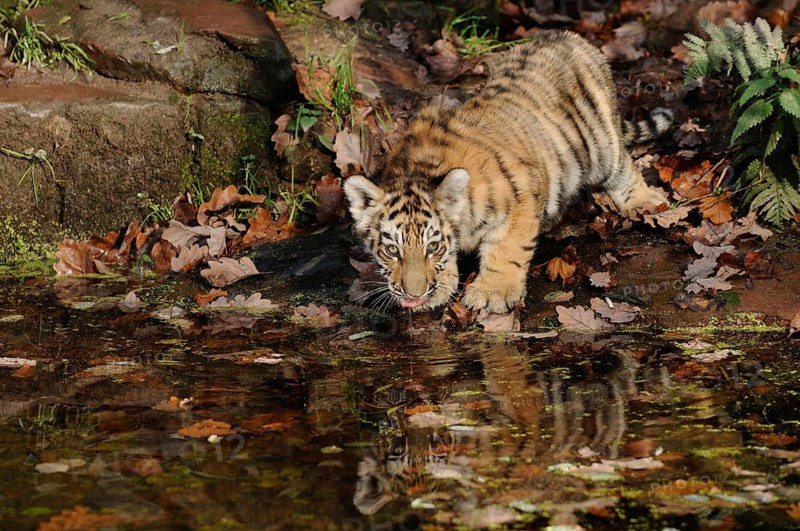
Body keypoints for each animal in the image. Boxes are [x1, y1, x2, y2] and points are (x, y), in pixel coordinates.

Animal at [344, 31, 673, 313]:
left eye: (432, 246)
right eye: (391, 250)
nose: (415, 294)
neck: (419, 168)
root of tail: (568, 36)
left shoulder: (521, 196)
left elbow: (507, 249)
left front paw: (492, 294)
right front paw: (439, 289)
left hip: (599, 146)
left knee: (623, 166)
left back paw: (643, 203)